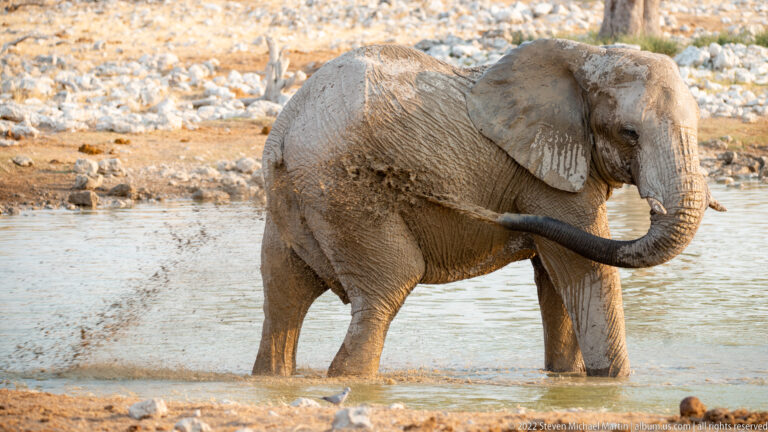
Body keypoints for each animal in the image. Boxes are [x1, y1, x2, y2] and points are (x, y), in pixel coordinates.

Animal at [252, 39, 724, 378]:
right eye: (630, 133)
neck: (586, 55)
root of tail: (285, 129)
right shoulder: (547, 175)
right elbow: (586, 272)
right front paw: (615, 385)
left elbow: (555, 280)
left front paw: (565, 380)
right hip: (343, 191)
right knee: (387, 287)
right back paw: (349, 381)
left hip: (295, 199)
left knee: (284, 293)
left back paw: (272, 378)